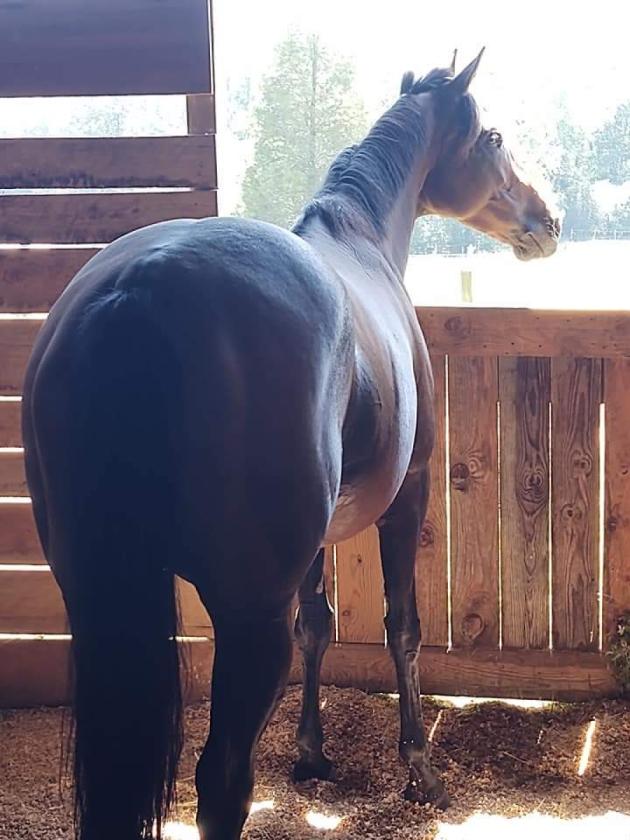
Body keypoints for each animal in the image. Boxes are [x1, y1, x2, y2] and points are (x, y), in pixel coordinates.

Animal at [21, 50, 560, 840]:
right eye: (491, 138)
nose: (545, 221)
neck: (359, 236)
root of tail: (140, 288)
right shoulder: (411, 492)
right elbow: (403, 628)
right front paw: (420, 770)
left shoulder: (318, 537)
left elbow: (320, 625)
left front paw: (310, 754)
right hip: (249, 619)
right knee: (222, 782)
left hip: (95, 597)